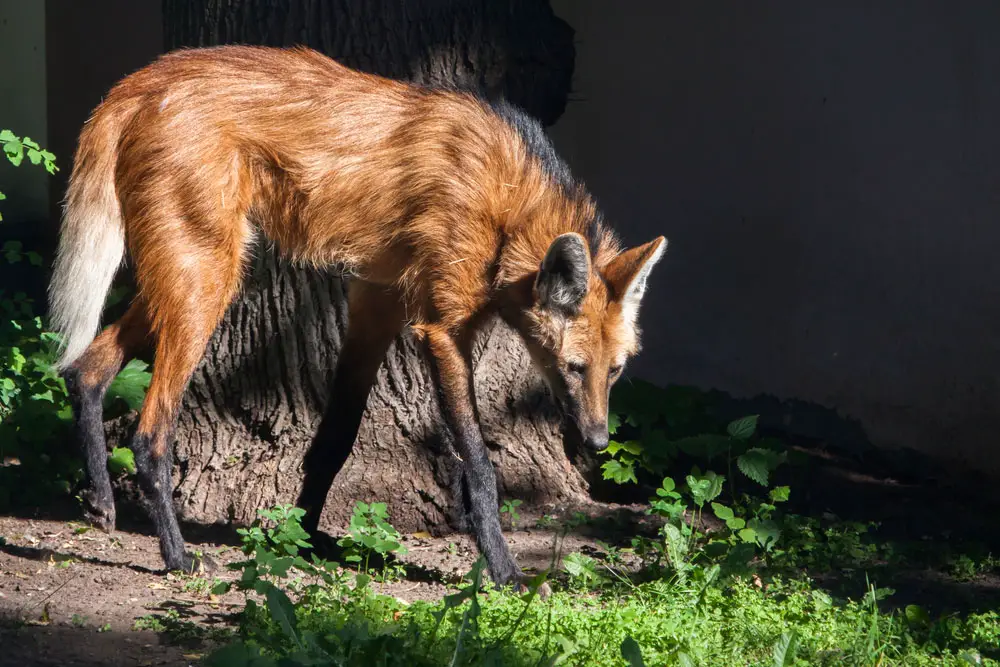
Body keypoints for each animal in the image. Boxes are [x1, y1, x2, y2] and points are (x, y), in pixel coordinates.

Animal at [50, 44, 668, 592]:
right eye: (574, 367)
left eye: (613, 371)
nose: (598, 442)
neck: (509, 209)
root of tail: (139, 82)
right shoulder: (441, 331)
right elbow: (479, 466)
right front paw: (506, 572)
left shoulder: (377, 302)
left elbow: (335, 437)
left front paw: (299, 539)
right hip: (209, 278)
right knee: (150, 433)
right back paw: (177, 558)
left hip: (188, 274)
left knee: (85, 369)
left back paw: (101, 502)